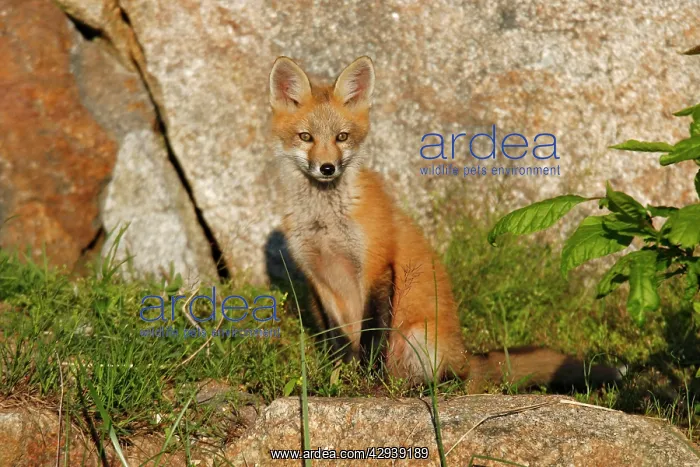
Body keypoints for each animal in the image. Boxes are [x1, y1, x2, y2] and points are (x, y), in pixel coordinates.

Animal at [269, 55, 622, 392]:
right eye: (306, 137)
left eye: (341, 137)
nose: (327, 168)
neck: (325, 220)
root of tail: (466, 357)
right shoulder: (319, 279)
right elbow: (338, 345)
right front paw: (336, 382)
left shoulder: (376, 265)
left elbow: (373, 339)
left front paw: (365, 385)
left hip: (419, 337)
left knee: (446, 381)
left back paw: (405, 389)